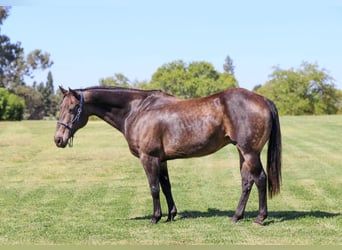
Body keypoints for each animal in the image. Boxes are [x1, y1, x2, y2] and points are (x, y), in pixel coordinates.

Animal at [54, 86, 282, 225]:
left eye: (73, 108)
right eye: (60, 107)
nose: (58, 139)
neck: (137, 110)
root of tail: (263, 99)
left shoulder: (149, 158)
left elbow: (154, 188)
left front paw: (156, 217)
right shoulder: (161, 160)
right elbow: (166, 187)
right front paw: (171, 215)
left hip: (250, 152)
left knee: (260, 179)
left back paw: (260, 218)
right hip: (242, 153)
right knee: (247, 182)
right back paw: (236, 217)